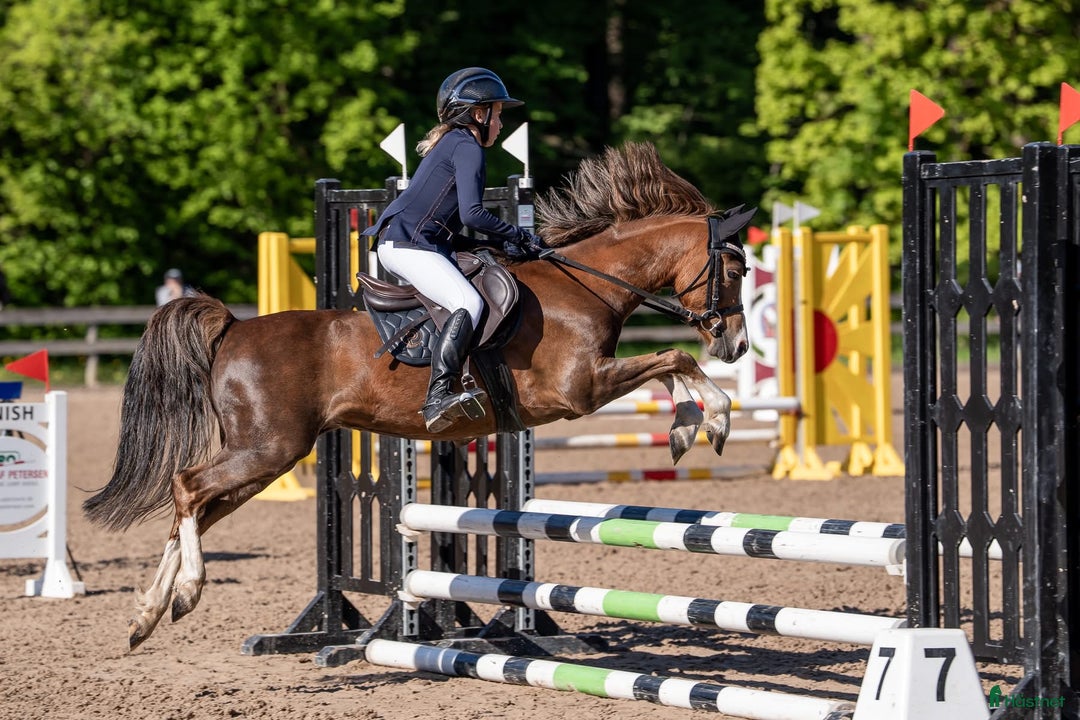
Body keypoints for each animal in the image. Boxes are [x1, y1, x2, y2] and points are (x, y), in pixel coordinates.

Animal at [83, 142, 752, 650]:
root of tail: (233, 328)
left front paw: (688, 426)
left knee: (194, 511)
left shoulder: (591, 382)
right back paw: (186, 593)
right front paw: (711, 420)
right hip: (267, 449)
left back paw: (146, 615)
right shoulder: (579, 390)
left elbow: (670, 364)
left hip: (264, 459)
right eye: (735, 269)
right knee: (186, 488)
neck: (586, 286)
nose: (738, 344)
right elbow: (674, 357)